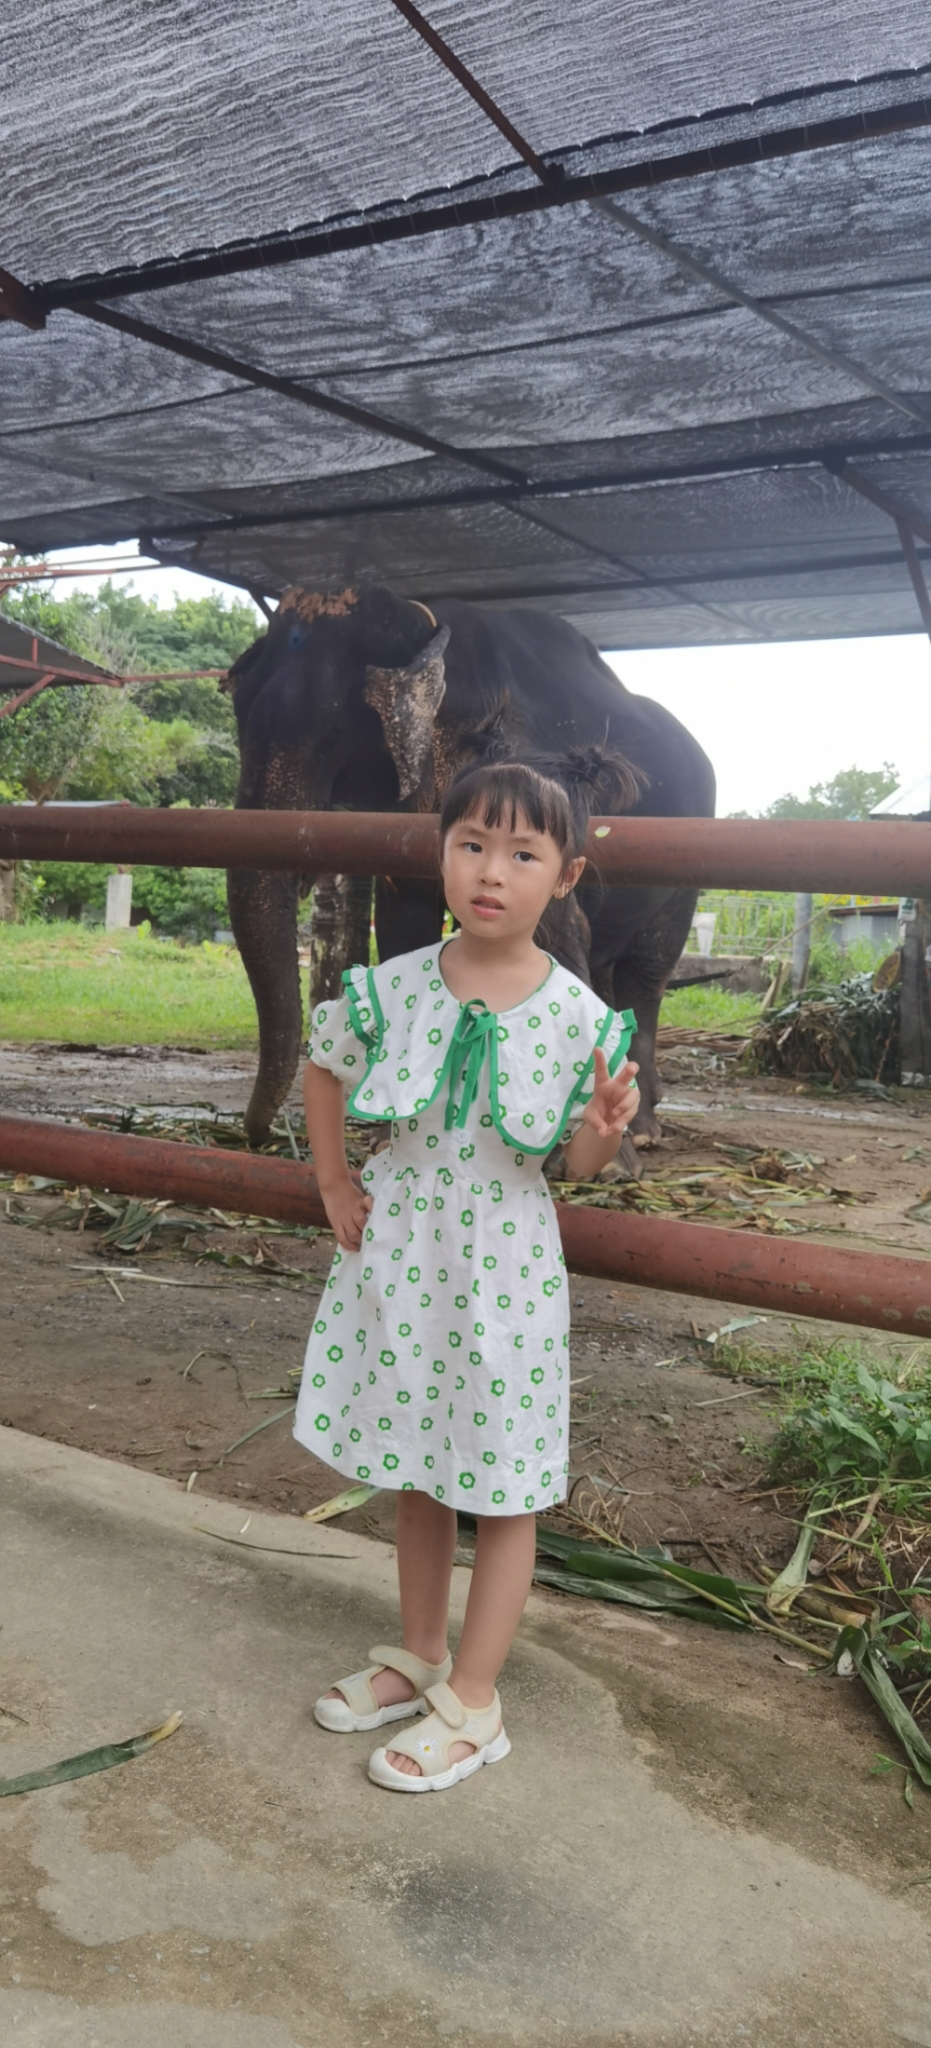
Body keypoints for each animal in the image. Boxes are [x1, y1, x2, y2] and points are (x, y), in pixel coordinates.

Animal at [226, 585, 716, 1146]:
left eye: (333, 735)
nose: (258, 1134)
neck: (423, 622)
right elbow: (404, 924)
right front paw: (388, 1134)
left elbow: (558, 923)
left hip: (690, 861)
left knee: (648, 968)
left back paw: (641, 1131)